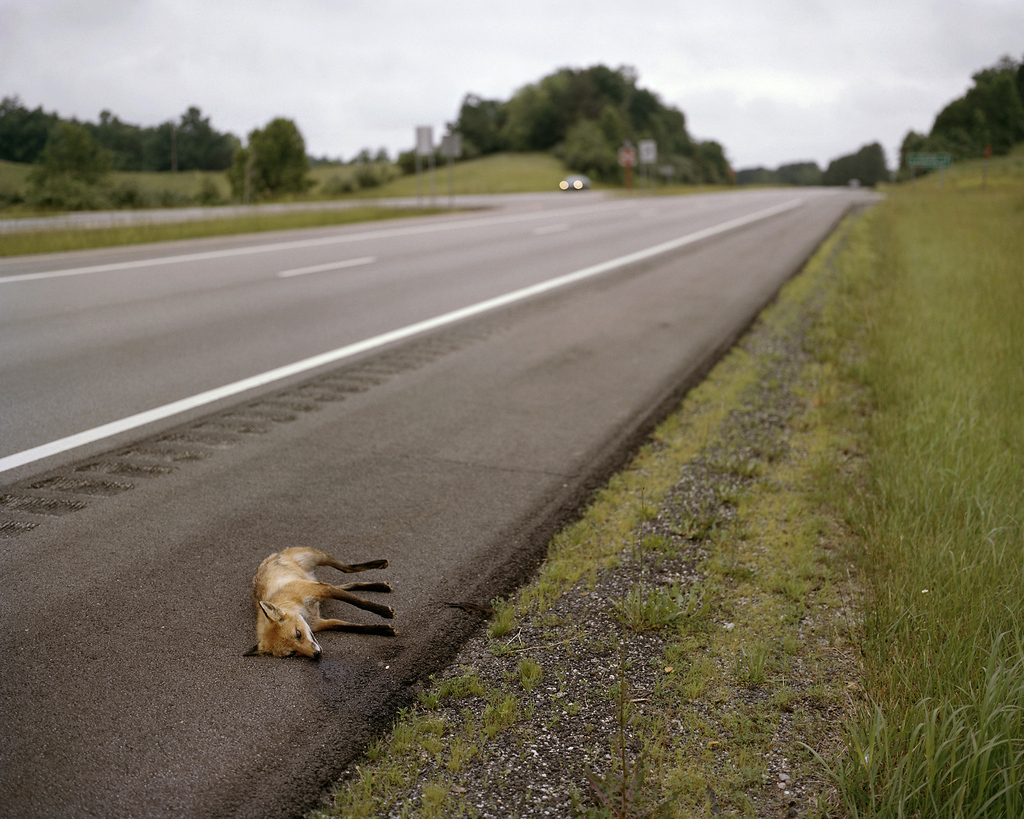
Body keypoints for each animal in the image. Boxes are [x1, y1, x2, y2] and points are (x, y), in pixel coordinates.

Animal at [244, 547, 395, 659]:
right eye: (292, 653)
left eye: (298, 634)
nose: (316, 654)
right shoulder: (320, 622)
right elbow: (355, 627)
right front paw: (384, 630)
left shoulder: (320, 590)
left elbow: (360, 603)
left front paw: (385, 612)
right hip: (314, 579)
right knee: (345, 584)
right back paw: (380, 586)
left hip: (318, 558)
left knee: (347, 568)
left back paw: (380, 564)